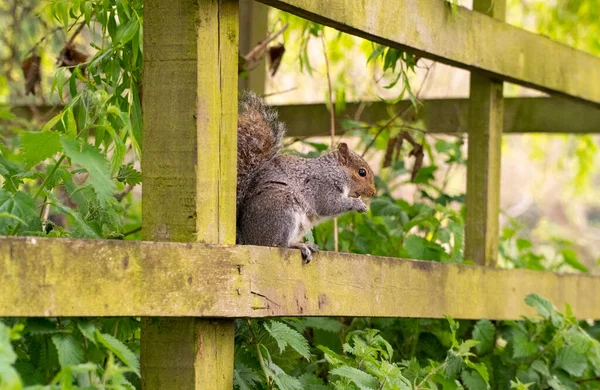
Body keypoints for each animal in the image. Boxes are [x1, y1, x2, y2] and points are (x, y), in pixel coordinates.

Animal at [238, 91, 376, 262]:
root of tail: (248, 239)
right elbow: (329, 205)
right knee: (278, 244)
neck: (334, 170)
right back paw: (298, 245)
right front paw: (358, 204)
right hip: (282, 211)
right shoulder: (322, 186)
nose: (373, 193)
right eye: (362, 172)